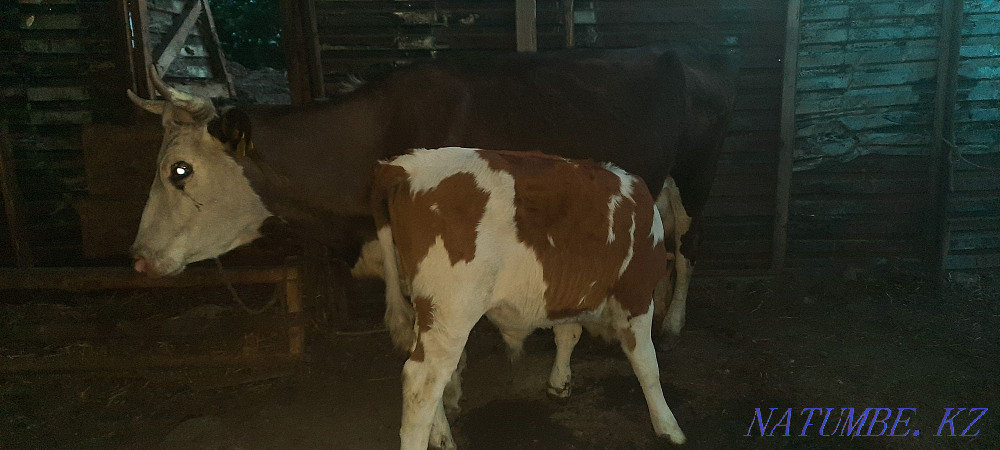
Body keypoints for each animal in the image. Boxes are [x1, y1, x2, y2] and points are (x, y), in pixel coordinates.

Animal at [372, 147, 686, 449]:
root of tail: (404, 165)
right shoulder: (636, 294)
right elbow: (647, 363)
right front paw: (668, 425)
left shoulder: (567, 293)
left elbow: (568, 334)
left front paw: (559, 382)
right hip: (452, 311)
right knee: (422, 382)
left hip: (427, 308)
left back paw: (441, 436)